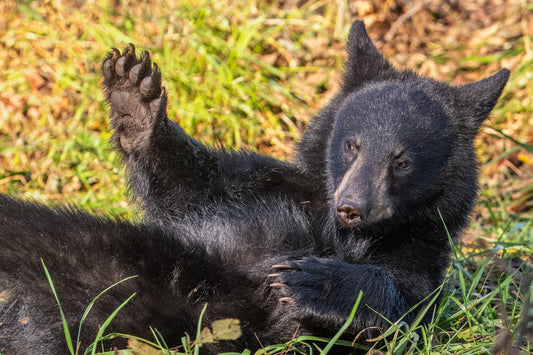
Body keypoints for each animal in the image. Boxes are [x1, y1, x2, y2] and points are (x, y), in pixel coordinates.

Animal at [0, 20, 508, 354]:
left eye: (401, 161)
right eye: (352, 144)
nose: (351, 207)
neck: (337, 231)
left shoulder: (419, 252)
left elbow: (402, 312)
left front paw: (309, 281)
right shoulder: (267, 185)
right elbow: (189, 185)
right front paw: (134, 96)